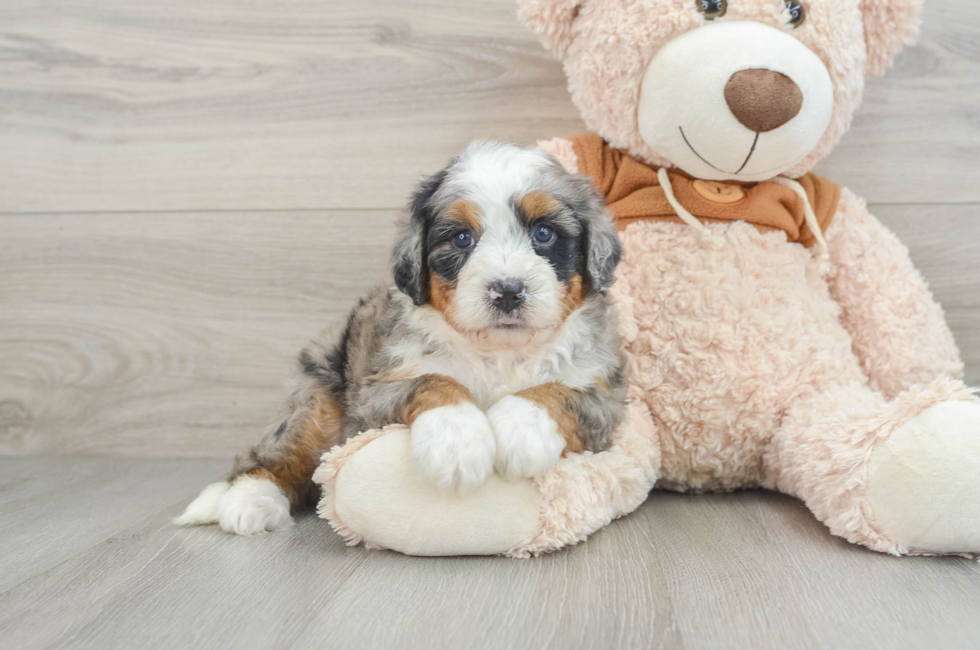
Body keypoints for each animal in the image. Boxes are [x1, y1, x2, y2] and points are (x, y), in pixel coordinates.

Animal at [176, 140, 628, 532]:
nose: (507, 290)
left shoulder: (606, 400)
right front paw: (456, 440)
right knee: (273, 454)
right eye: (462, 238)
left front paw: (520, 429)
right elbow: (433, 380)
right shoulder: (375, 393)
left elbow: (559, 392)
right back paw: (248, 501)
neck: (498, 353)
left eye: (544, 234)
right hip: (318, 402)